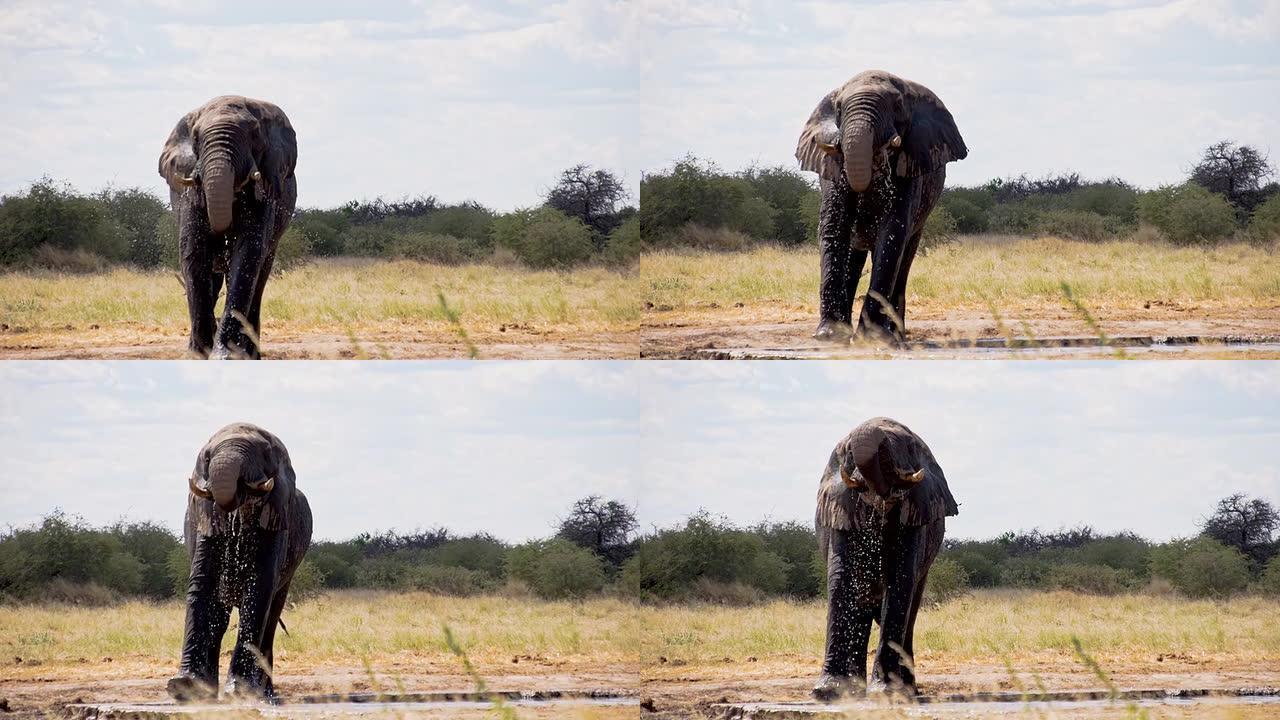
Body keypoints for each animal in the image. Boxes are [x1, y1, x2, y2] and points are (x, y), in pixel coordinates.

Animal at [168, 420, 313, 702]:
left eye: (265, 454)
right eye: (207, 457)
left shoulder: (277, 517)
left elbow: (258, 591)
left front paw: (239, 691)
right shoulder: (204, 520)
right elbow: (202, 585)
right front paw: (184, 687)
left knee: (271, 618)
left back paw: (265, 695)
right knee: (220, 616)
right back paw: (208, 692)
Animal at [793, 68, 962, 343]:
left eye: (897, 106)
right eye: (838, 108)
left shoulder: (911, 162)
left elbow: (892, 234)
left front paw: (870, 337)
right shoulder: (832, 165)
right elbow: (834, 226)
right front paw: (830, 335)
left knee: (905, 260)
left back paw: (897, 337)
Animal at [814, 415, 957, 696]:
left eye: (906, 447)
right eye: (848, 453)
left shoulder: (917, 511)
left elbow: (899, 580)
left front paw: (884, 691)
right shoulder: (840, 509)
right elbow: (842, 578)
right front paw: (828, 691)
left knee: (910, 608)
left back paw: (907, 688)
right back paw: (856, 687)